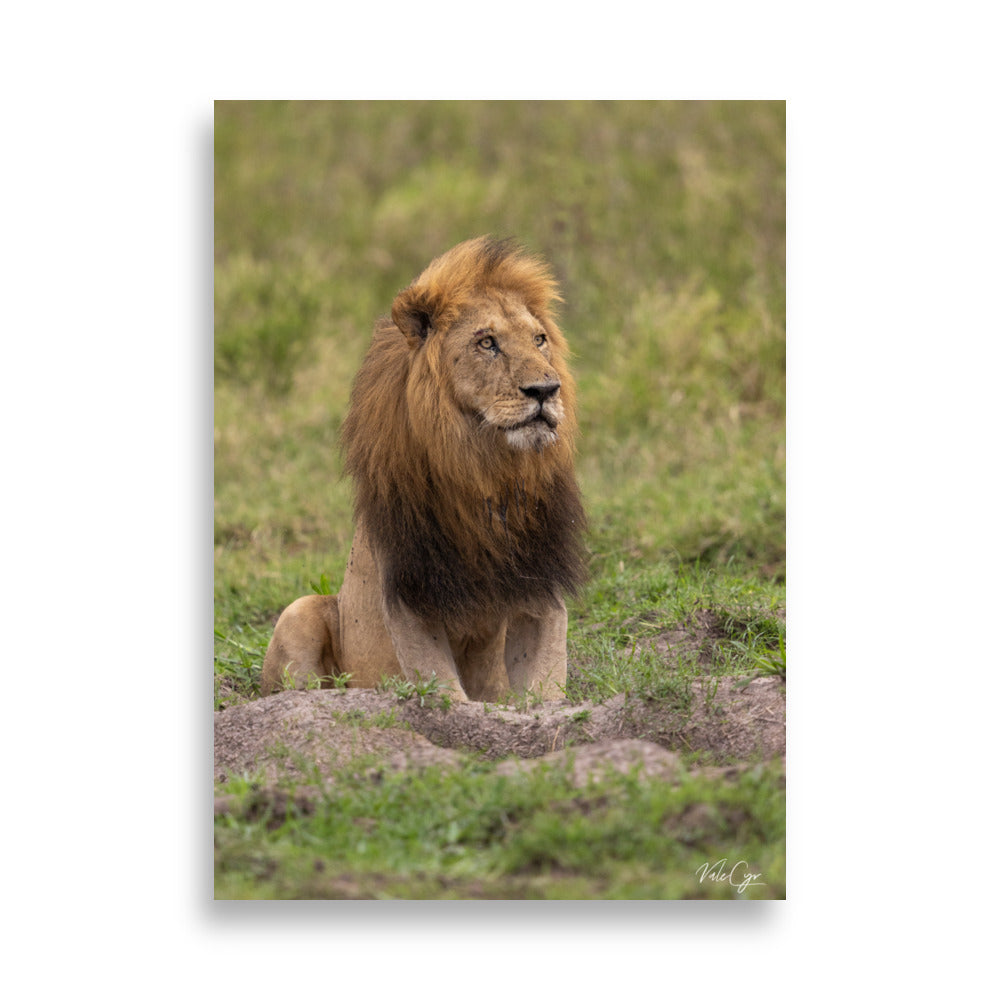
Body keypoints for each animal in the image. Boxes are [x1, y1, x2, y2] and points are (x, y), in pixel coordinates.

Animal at [260, 236, 584, 704]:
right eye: (487, 343)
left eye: (539, 340)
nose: (546, 389)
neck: (488, 475)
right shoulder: (410, 594)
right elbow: (444, 691)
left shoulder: (540, 587)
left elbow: (544, 688)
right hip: (300, 610)